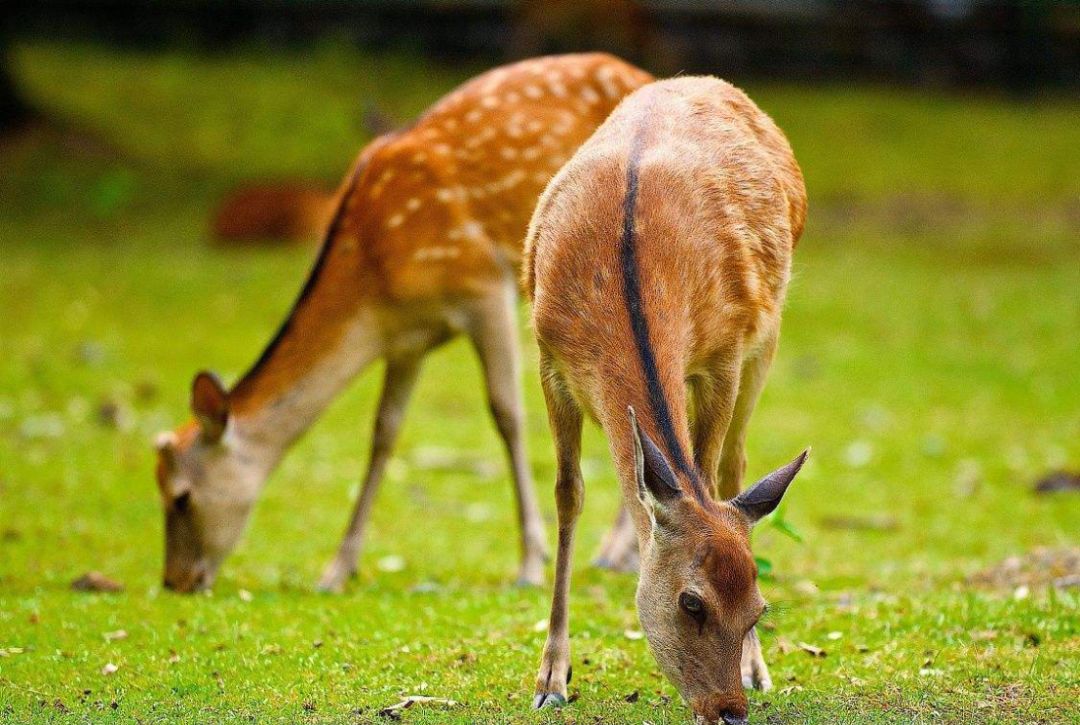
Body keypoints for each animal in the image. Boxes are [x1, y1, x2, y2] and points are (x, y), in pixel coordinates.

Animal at [153, 52, 652, 596]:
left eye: (180, 496)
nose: (174, 581)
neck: (376, 272)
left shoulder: (483, 283)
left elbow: (507, 415)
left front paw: (529, 563)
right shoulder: (405, 339)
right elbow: (384, 432)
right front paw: (337, 570)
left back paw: (616, 552)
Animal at [522, 76, 812, 721]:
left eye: (759, 608)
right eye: (691, 602)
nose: (728, 709)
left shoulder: (723, 355)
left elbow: (706, 473)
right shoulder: (550, 362)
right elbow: (568, 494)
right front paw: (552, 678)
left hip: (767, 341)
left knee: (734, 466)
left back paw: (758, 670)